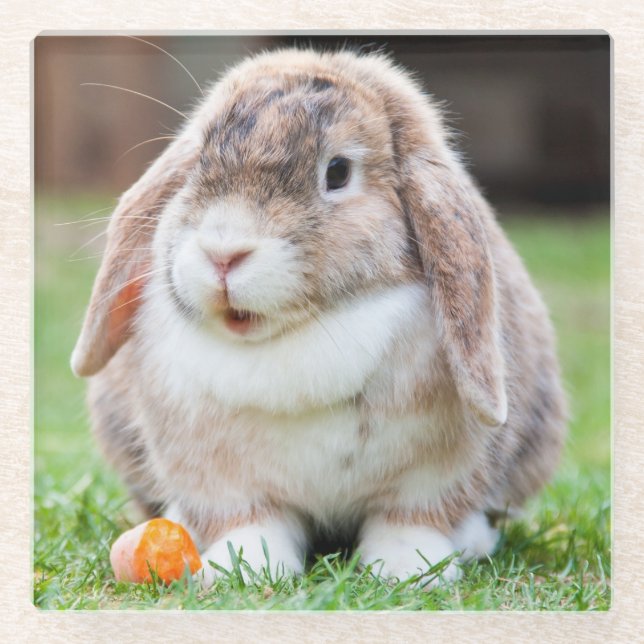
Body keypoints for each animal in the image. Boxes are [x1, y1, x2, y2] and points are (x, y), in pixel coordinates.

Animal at [72, 47, 567, 587]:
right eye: (199, 158)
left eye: (338, 172)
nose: (223, 253)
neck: (297, 336)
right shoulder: (221, 480)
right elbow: (250, 522)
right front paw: (243, 569)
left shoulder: (433, 476)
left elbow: (409, 520)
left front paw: (408, 570)